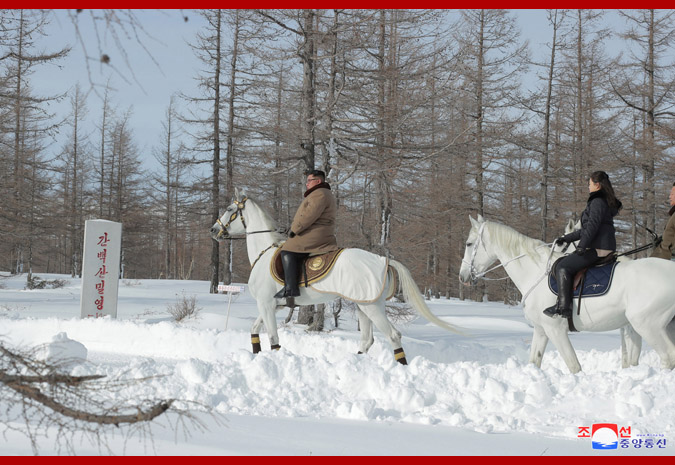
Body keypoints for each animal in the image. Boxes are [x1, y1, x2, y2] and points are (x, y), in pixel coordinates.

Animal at [209, 190, 463, 364]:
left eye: (230, 209)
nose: (213, 230)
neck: (264, 252)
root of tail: (383, 260)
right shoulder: (272, 306)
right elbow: (255, 330)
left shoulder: (266, 304)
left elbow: (273, 338)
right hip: (364, 306)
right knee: (367, 339)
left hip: (372, 308)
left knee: (393, 336)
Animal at [458, 215, 675, 374]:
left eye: (468, 244)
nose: (463, 276)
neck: (535, 272)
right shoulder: (541, 330)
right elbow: (534, 361)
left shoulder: (555, 330)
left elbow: (574, 366)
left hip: (646, 325)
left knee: (668, 356)